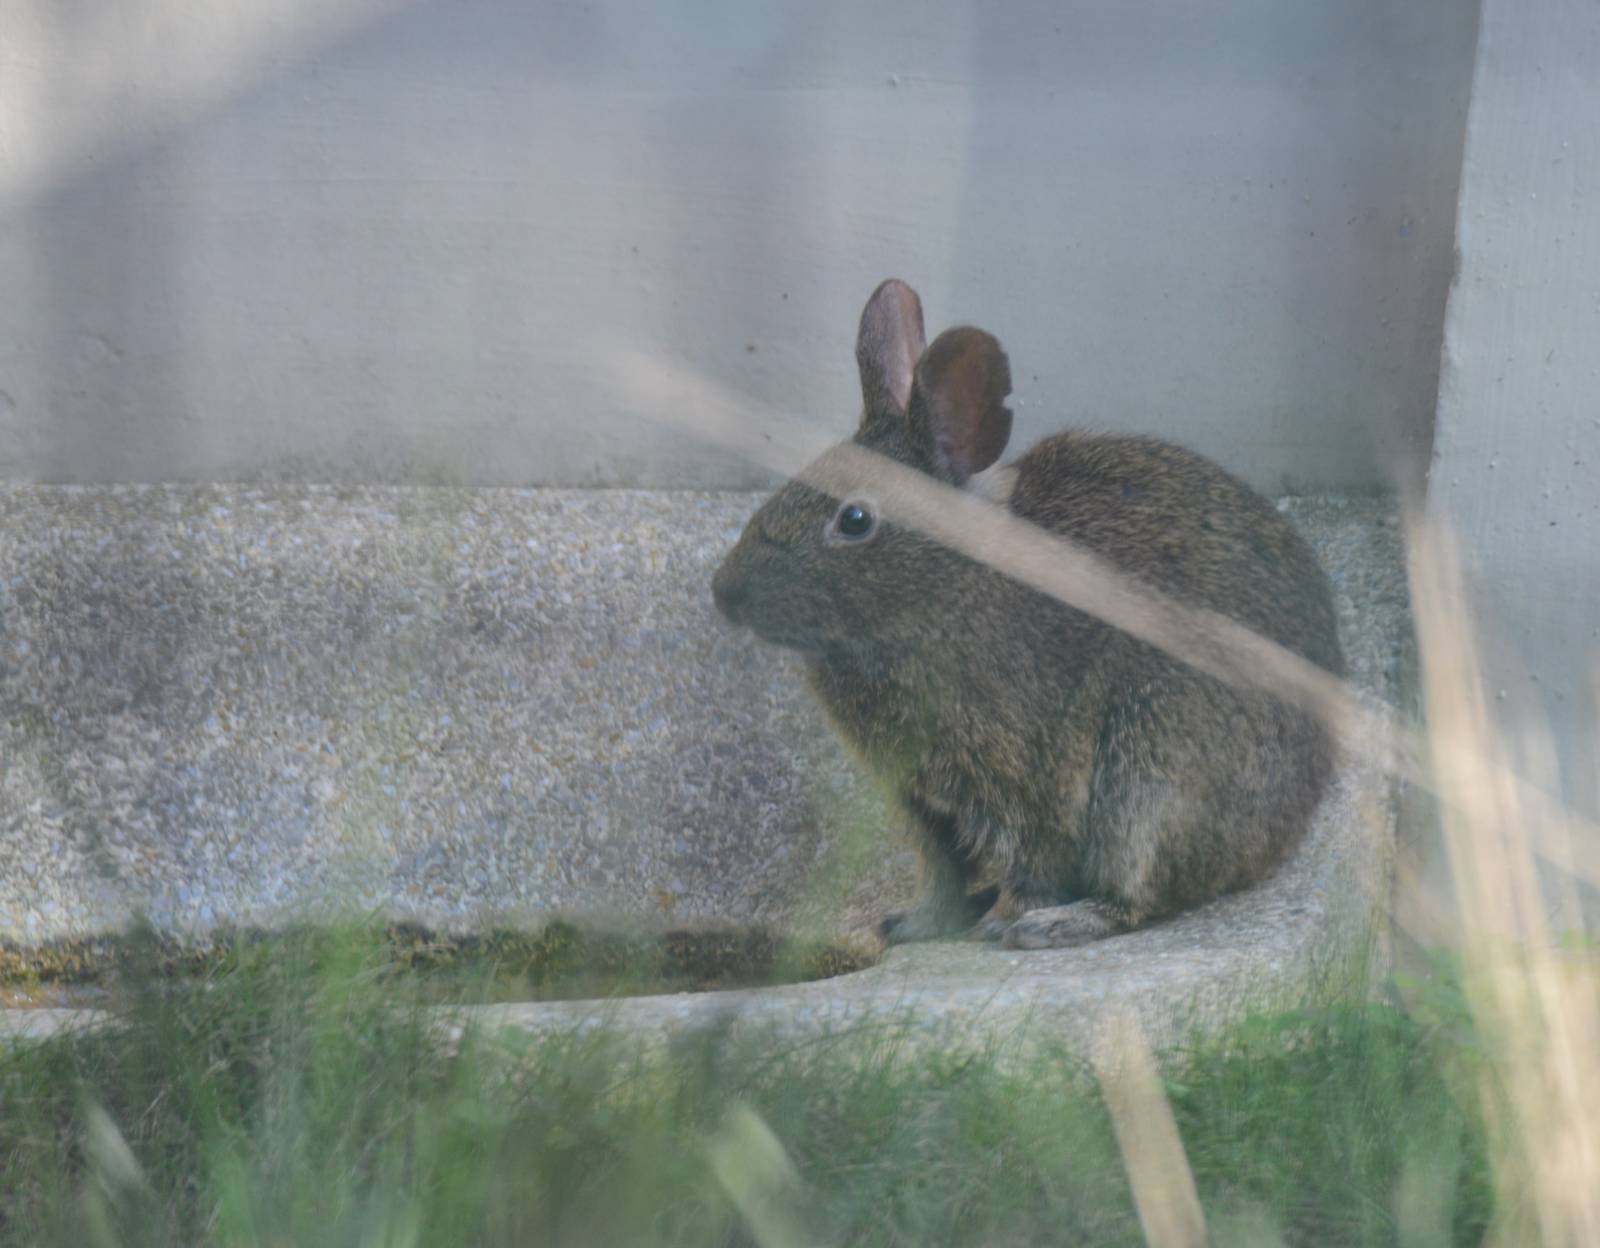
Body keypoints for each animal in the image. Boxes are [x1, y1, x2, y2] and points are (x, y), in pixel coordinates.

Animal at [711, 279, 1344, 949]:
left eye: (854, 520)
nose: (725, 592)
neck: (949, 584)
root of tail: (1284, 833)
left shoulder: (1027, 776)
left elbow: (1032, 858)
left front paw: (1003, 920)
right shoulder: (922, 802)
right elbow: (939, 872)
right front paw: (916, 925)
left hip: (1150, 772)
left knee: (1138, 893)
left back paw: (1057, 924)